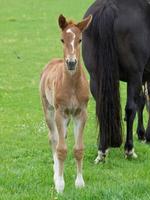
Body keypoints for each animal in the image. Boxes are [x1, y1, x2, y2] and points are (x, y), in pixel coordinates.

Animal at [39, 14, 92, 193]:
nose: (71, 63)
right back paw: (56, 175)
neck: (73, 86)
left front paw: (80, 183)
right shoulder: (60, 112)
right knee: (54, 139)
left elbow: (78, 149)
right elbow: (61, 149)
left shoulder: (81, 113)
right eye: (62, 39)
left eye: (80, 40)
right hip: (48, 110)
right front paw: (60, 185)